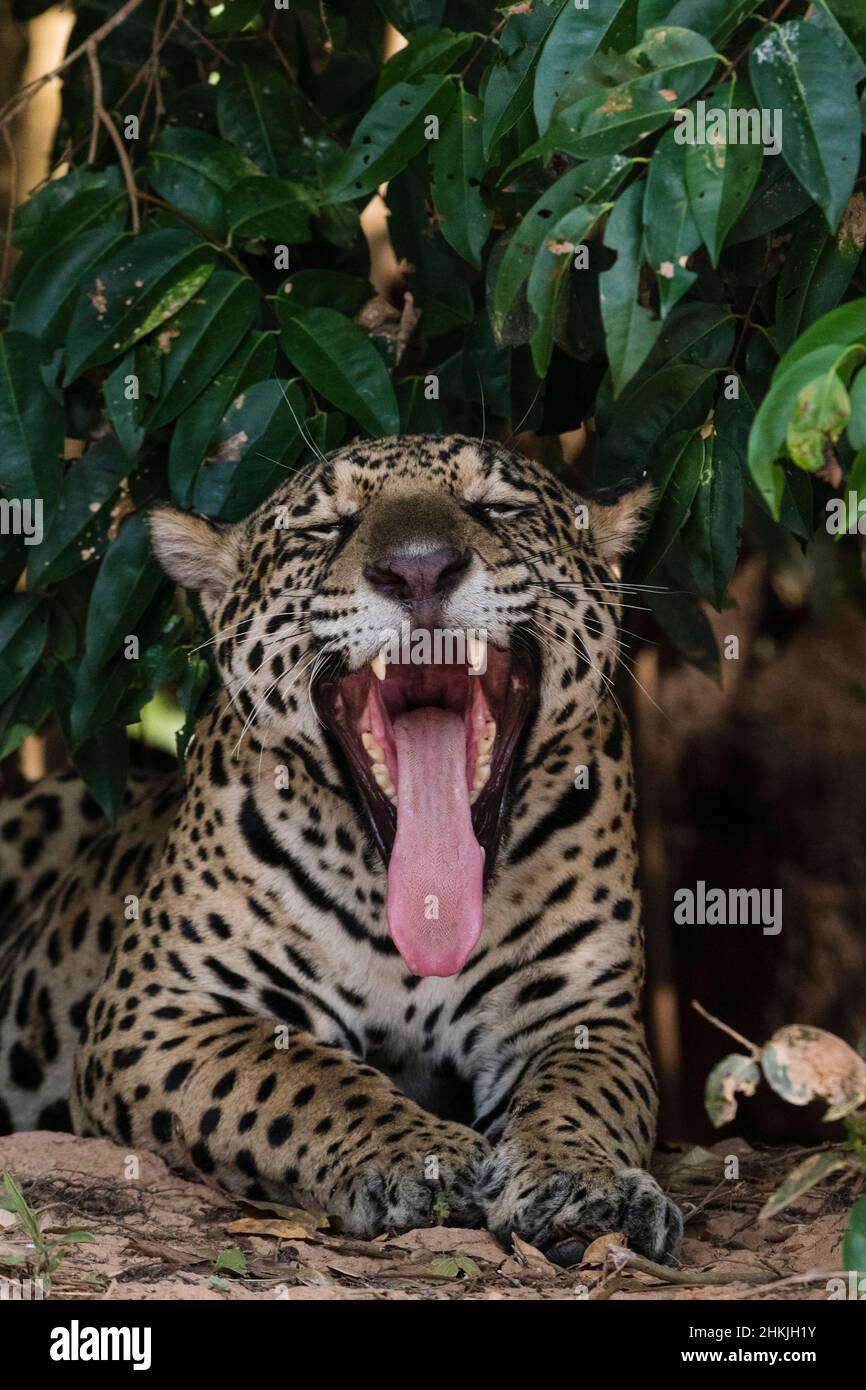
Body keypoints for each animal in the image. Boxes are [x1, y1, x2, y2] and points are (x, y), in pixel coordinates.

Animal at [0, 433, 682, 1263]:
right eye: (325, 526)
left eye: (497, 507)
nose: (420, 570)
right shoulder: (157, 1013)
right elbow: (298, 1079)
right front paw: (423, 1156)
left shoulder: (584, 1016)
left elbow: (580, 1098)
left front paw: (582, 1184)